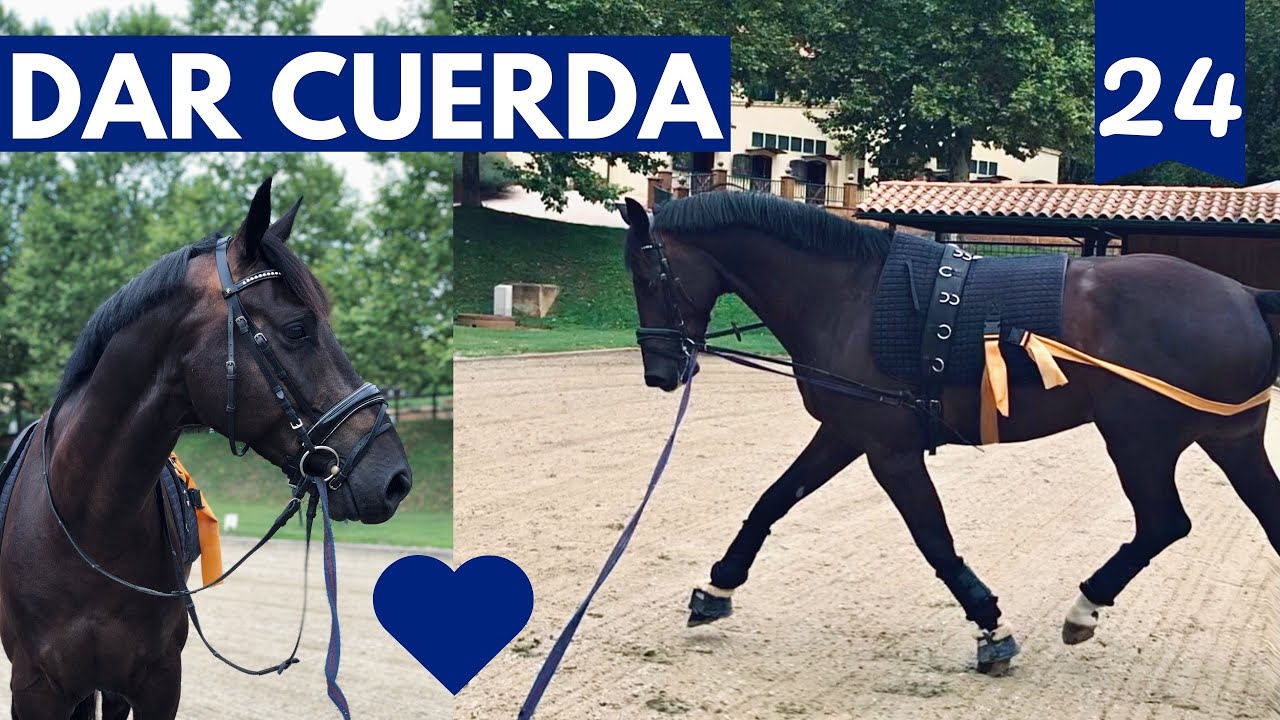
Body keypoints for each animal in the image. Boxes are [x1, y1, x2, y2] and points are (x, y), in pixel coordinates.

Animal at [618, 191, 1280, 675]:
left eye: (647, 275)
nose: (660, 372)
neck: (849, 296)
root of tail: (1244, 294)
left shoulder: (890, 451)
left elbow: (933, 539)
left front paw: (991, 625)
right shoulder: (846, 433)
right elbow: (773, 500)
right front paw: (717, 586)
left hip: (1138, 442)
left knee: (1163, 523)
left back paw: (1085, 607)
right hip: (1230, 441)